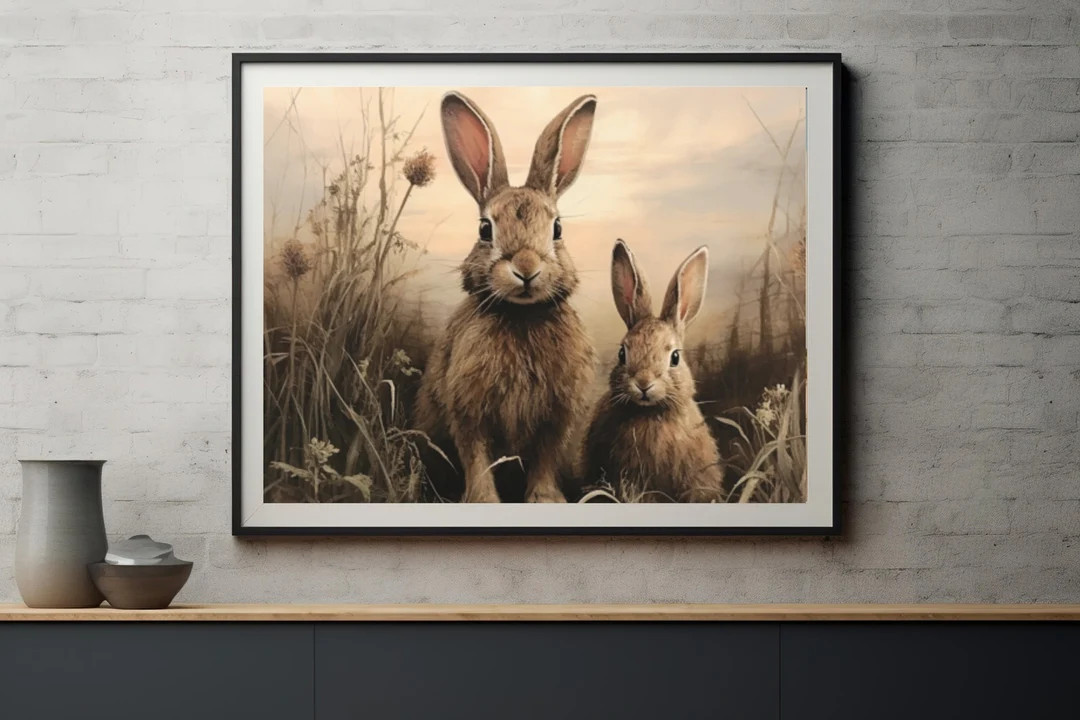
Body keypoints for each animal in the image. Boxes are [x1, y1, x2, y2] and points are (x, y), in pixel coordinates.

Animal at [415, 91, 598, 503]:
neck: (522, 317)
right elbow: (477, 459)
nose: (526, 268)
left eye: (557, 228)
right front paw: (482, 501)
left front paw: (546, 500)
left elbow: (545, 459)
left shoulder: (557, 417)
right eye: (485, 229)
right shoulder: (468, 410)